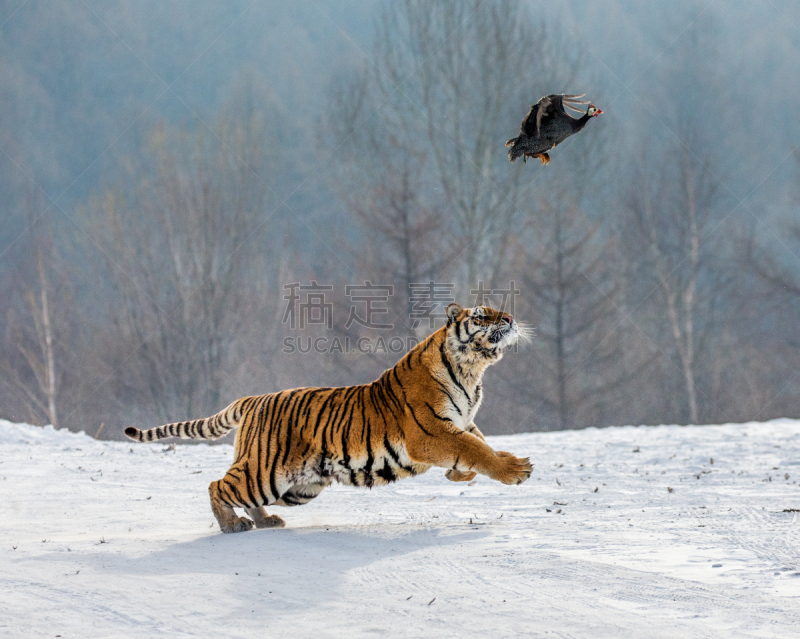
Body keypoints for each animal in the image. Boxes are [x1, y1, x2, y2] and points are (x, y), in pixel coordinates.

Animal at [125, 302, 532, 532]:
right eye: (481, 315)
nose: (511, 317)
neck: (473, 370)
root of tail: (254, 398)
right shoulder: (431, 432)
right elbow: (476, 449)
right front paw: (516, 470)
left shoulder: (462, 421)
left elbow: (479, 444)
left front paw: (459, 474)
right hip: (263, 473)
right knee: (217, 485)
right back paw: (232, 525)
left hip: (297, 488)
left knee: (240, 491)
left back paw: (264, 521)